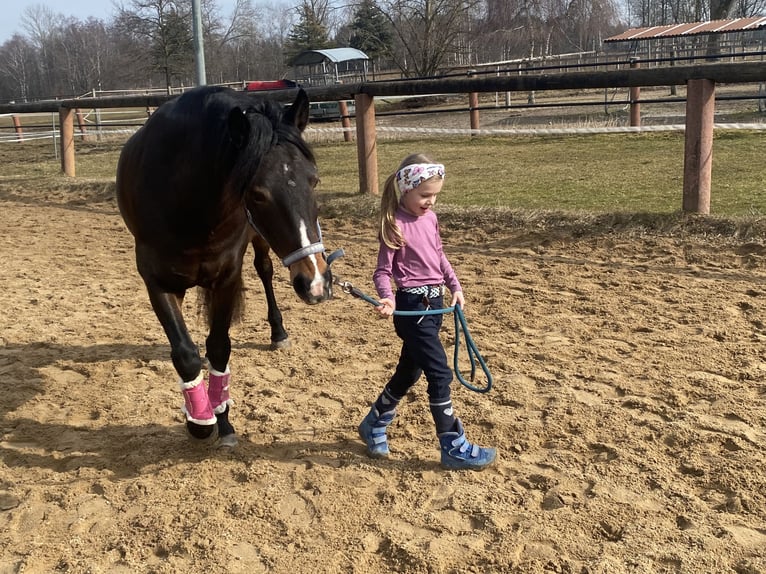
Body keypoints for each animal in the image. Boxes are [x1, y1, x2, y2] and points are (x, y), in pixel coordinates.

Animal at [116, 85, 332, 448]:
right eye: (257, 194)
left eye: (314, 181)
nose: (315, 282)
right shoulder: (156, 282)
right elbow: (184, 352)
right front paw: (199, 420)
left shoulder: (227, 277)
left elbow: (219, 346)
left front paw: (224, 419)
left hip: (258, 243)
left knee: (264, 269)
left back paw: (278, 332)